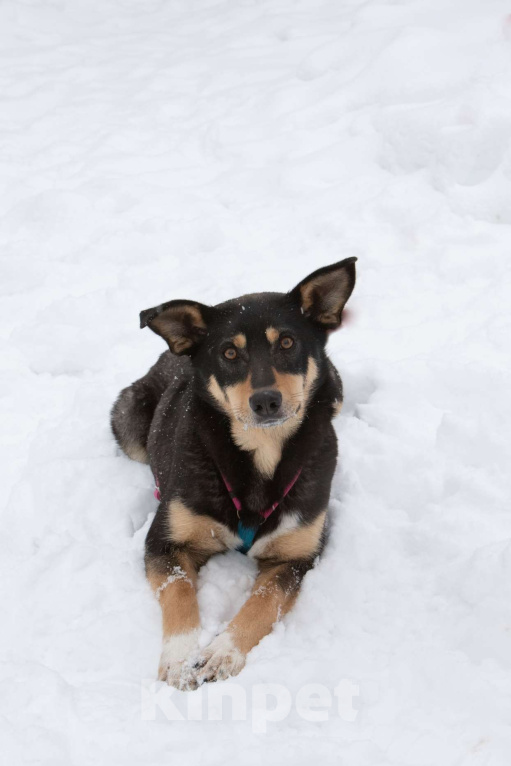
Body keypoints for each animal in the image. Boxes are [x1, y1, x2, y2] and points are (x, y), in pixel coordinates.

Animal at [112, 260, 358, 692]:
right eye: (229, 352)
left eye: (287, 343)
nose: (266, 400)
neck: (260, 456)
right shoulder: (164, 542)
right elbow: (178, 591)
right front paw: (179, 658)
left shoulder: (296, 556)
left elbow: (263, 602)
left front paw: (221, 652)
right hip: (128, 421)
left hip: (337, 388)